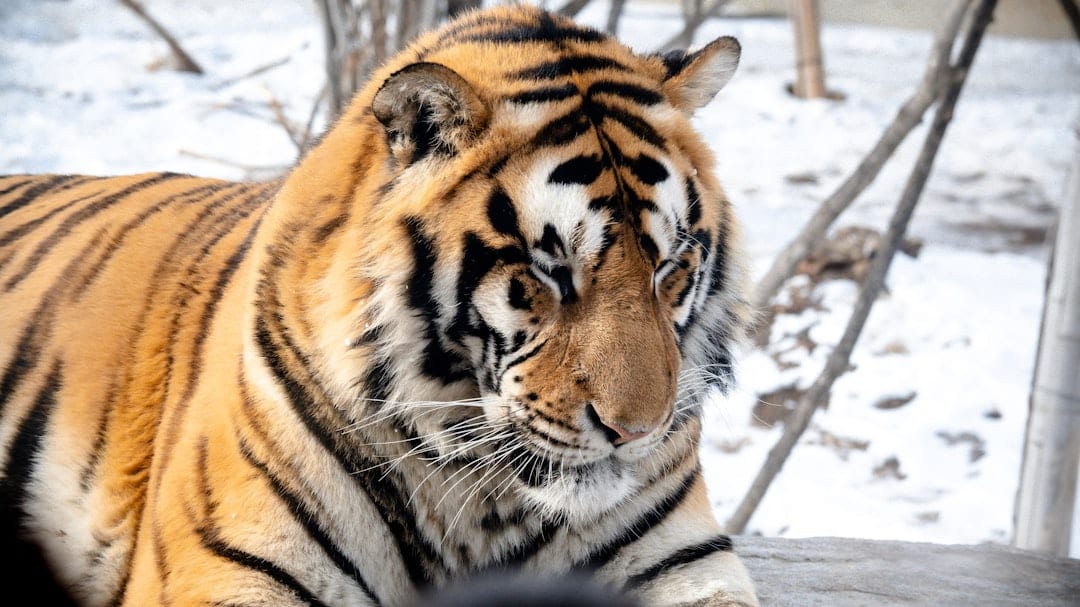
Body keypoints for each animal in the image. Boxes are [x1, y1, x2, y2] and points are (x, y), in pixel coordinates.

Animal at [0, 5, 759, 607]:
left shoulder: (685, 563)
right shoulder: (231, 564)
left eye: (669, 267)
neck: (482, 502)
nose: (635, 431)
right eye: (548, 272)